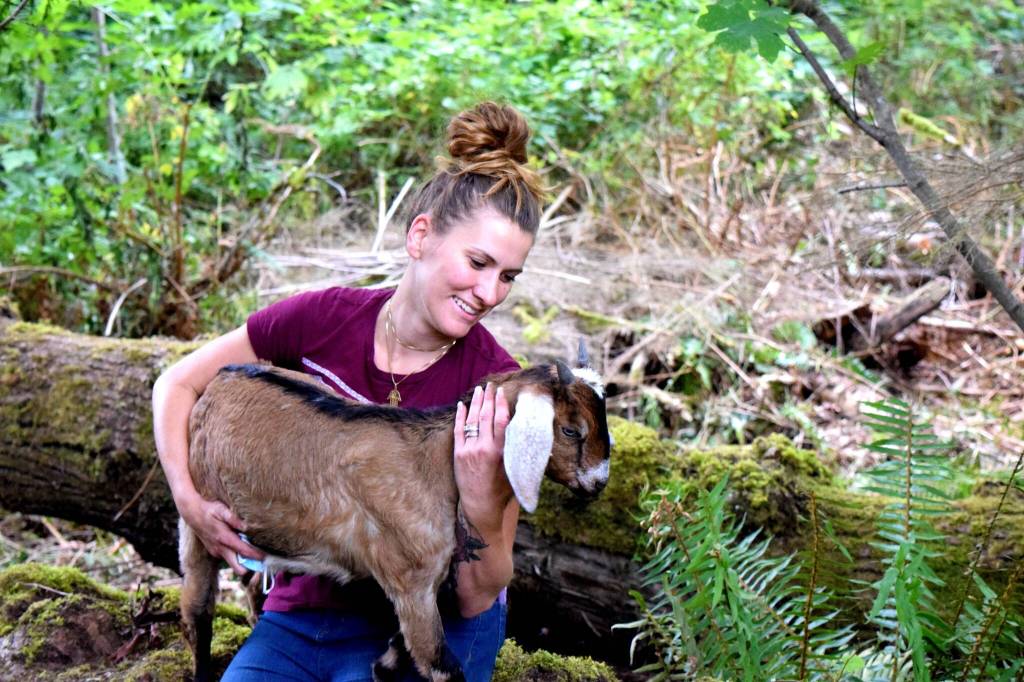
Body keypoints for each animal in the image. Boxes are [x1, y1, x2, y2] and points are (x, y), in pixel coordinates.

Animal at [180, 357, 611, 682]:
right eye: (571, 430)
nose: (599, 482)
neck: (435, 463)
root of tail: (223, 375)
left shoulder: (430, 578)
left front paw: (382, 665)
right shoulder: (411, 581)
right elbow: (441, 665)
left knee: (254, 581)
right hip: (200, 519)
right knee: (197, 609)